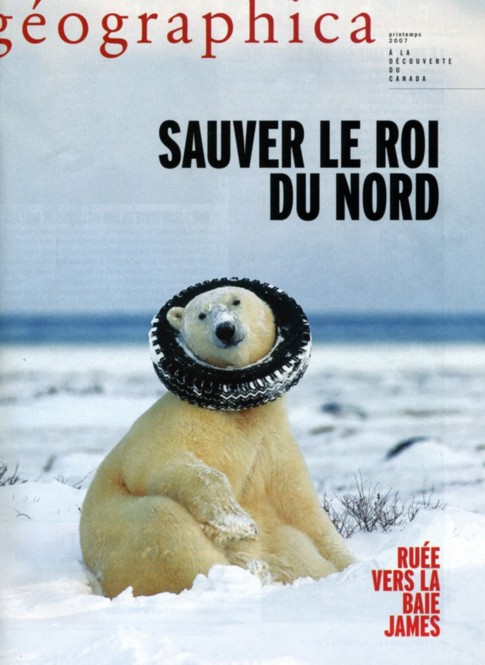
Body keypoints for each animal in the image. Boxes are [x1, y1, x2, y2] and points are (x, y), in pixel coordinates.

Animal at [80, 282, 354, 597]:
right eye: (201, 314)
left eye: (236, 301)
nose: (225, 329)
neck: (237, 411)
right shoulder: (176, 426)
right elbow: (164, 463)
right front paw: (237, 524)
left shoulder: (273, 450)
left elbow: (304, 511)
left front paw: (350, 564)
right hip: (120, 532)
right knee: (165, 528)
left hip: (278, 541)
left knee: (298, 552)